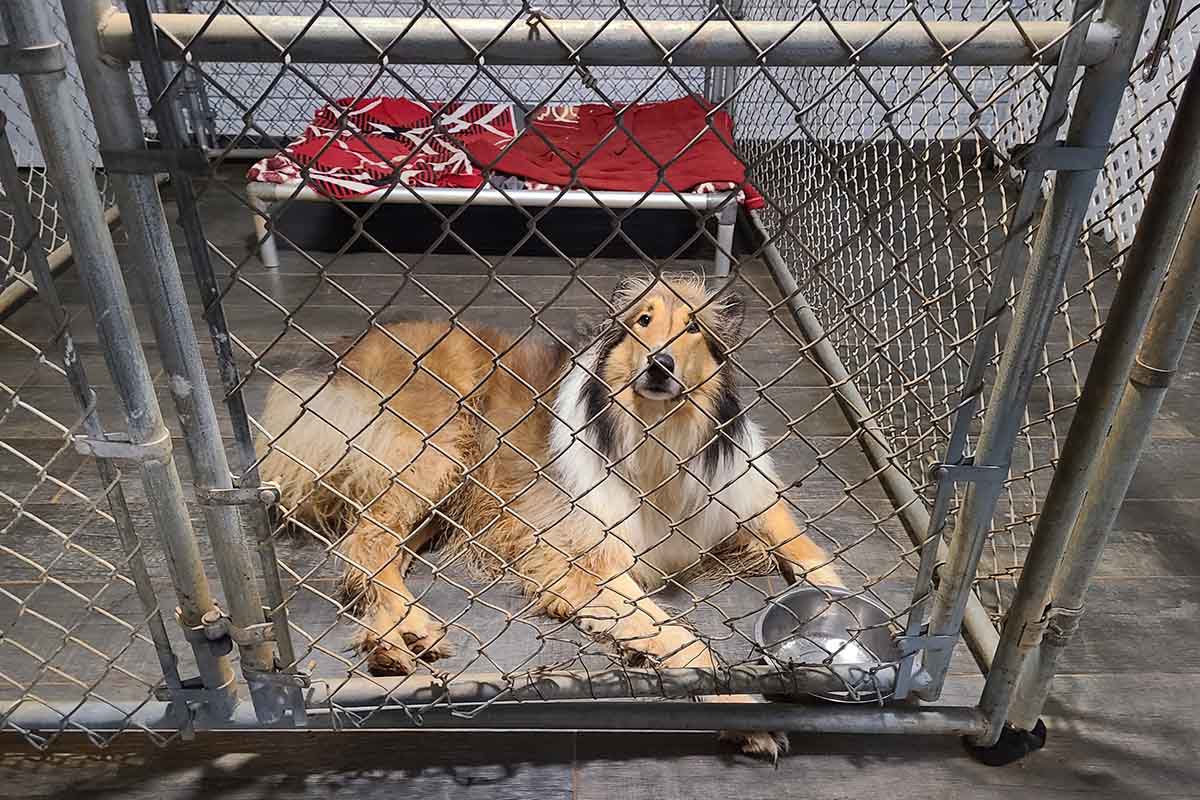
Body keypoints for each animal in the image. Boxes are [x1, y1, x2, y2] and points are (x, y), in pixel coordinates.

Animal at [258, 272, 840, 762]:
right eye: (643, 321)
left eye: (693, 328)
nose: (660, 364)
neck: (656, 434)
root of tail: (346, 357)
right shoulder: (592, 564)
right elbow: (681, 638)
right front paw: (744, 710)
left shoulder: (741, 494)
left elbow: (802, 543)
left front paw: (836, 608)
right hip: (437, 448)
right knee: (365, 543)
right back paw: (406, 633)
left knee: (374, 553)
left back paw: (392, 645)